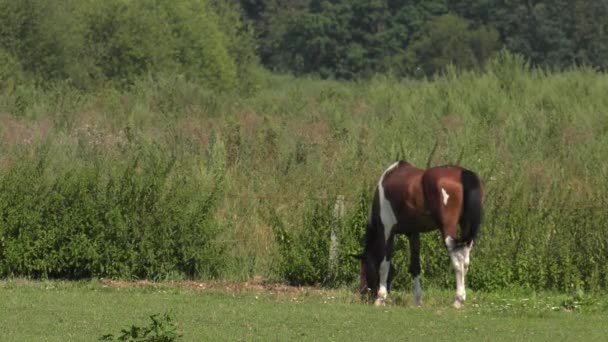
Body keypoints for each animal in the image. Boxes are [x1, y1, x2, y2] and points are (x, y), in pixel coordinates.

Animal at [354, 162, 482, 308]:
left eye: (364, 270)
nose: (364, 294)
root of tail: (464, 174)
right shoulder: (413, 233)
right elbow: (415, 266)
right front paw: (417, 299)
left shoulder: (387, 231)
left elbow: (384, 264)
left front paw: (380, 298)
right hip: (466, 231)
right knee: (465, 261)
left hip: (448, 231)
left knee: (458, 260)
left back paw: (458, 300)